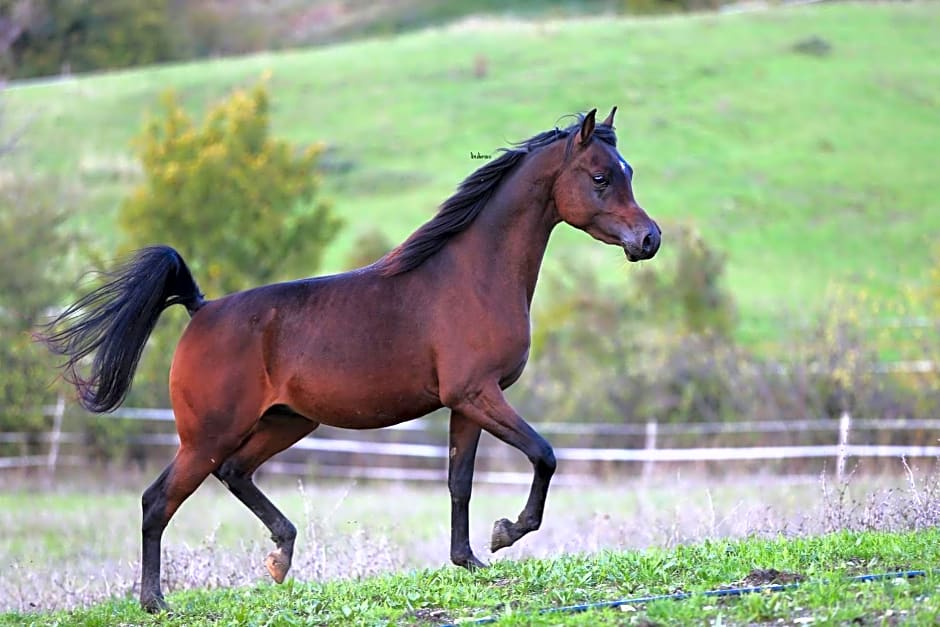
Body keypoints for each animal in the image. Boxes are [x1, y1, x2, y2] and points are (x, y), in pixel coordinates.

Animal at [40, 108, 660, 612]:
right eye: (601, 177)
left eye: (629, 172)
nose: (649, 239)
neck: (472, 276)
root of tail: (201, 308)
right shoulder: (478, 394)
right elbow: (544, 454)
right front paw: (507, 531)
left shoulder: (467, 402)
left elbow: (459, 481)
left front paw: (470, 559)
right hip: (208, 435)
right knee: (158, 501)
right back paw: (156, 601)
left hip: (286, 422)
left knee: (233, 473)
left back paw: (280, 556)